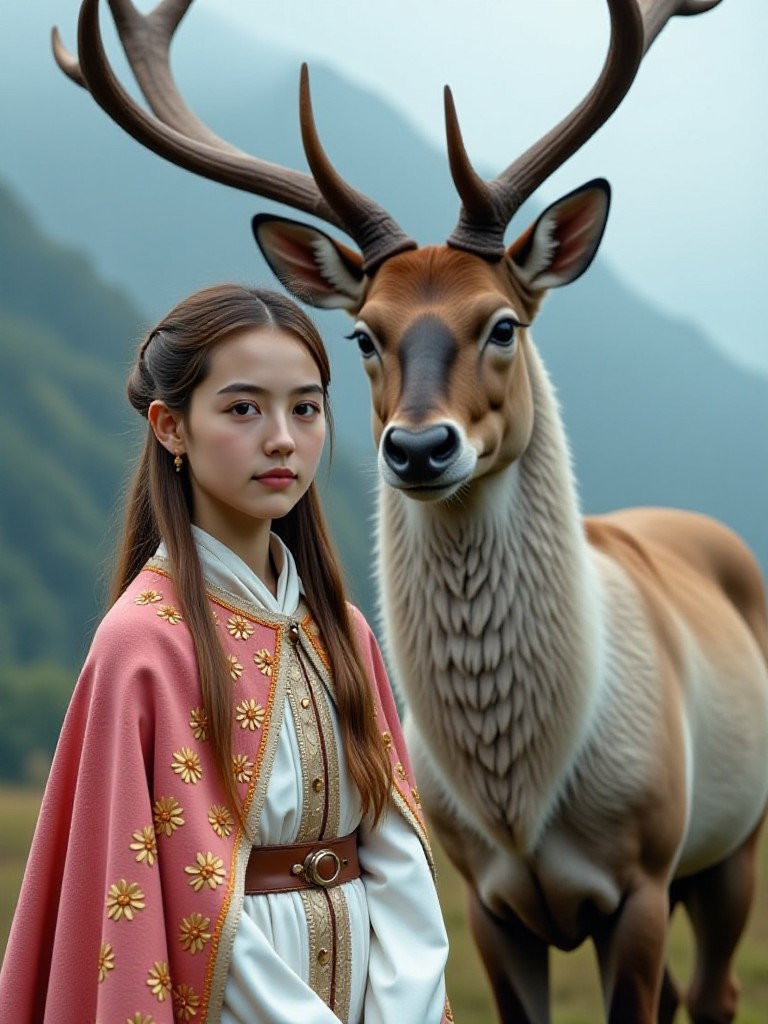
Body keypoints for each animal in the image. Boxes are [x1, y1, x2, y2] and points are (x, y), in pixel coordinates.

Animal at [54, 1, 768, 1021]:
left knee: (711, 991)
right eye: (364, 333)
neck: (520, 802)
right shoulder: (486, 898)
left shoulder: (640, 870)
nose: (421, 448)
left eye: (503, 322)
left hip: (730, 842)